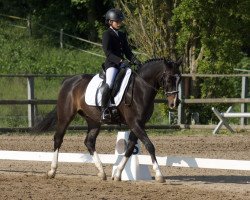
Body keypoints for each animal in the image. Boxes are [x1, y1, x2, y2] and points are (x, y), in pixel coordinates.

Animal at [34, 57, 181, 183]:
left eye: (179, 79)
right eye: (169, 79)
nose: (175, 103)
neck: (140, 89)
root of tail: (69, 80)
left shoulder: (139, 124)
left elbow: (130, 148)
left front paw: (117, 174)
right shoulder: (134, 123)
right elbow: (149, 145)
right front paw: (159, 175)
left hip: (93, 120)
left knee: (89, 142)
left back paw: (101, 172)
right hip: (65, 116)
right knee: (58, 138)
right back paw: (52, 171)